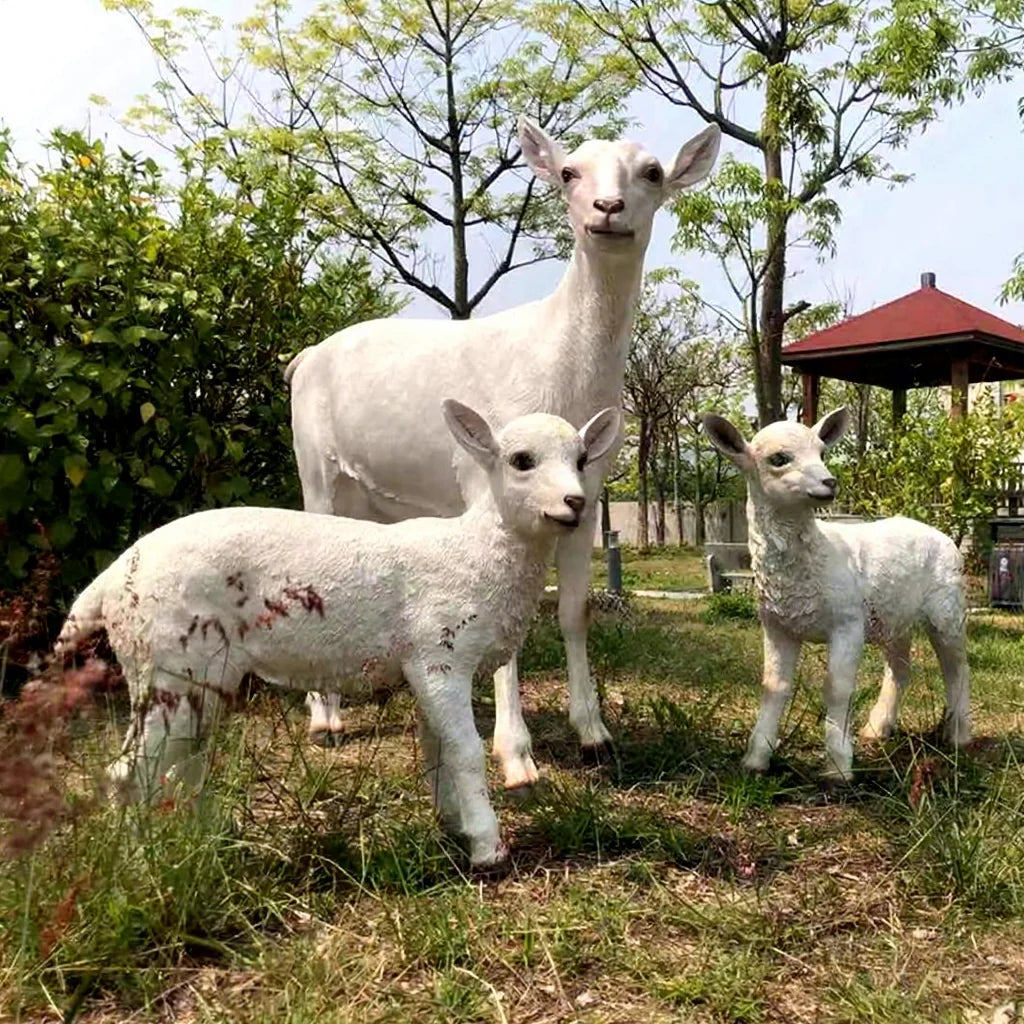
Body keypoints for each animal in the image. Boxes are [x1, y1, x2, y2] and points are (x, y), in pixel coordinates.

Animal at [54, 401, 621, 868]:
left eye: (582, 458)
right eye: (521, 460)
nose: (575, 503)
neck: (477, 548)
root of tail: (109, 583)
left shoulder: (423, 663)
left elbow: (436, 752)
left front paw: (452, 826)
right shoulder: (441, 655)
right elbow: (465, 750)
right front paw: (488, 848)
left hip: (195, 674)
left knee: (182, 762)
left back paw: (195, 848)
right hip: (166, 662)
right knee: (129, 772)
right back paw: (140, 866)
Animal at [287, 115, 721, 789]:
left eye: (652, 172)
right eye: (569, 172)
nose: (608, 208)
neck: (558, 376)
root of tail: (302, 358)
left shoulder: (590, 490)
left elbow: (573, 610)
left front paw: (594, 733)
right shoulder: (482, 478)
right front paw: (516, 755)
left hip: (366, 496)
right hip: (313, 464)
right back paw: (325, 719)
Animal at [701, 407, 971, 781]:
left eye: (822, 453)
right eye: (778, 459)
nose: (829, 483)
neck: (816, 555)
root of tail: (940, 534)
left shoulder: (848, 622)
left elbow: (837, 686)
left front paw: (838, 768)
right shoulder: (777, 626)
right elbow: (774, 685)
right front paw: (755, 760)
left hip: (948, 607)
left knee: (956, 666)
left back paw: (959, 736)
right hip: (893, 617)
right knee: (900, 668)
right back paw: (877, 728)